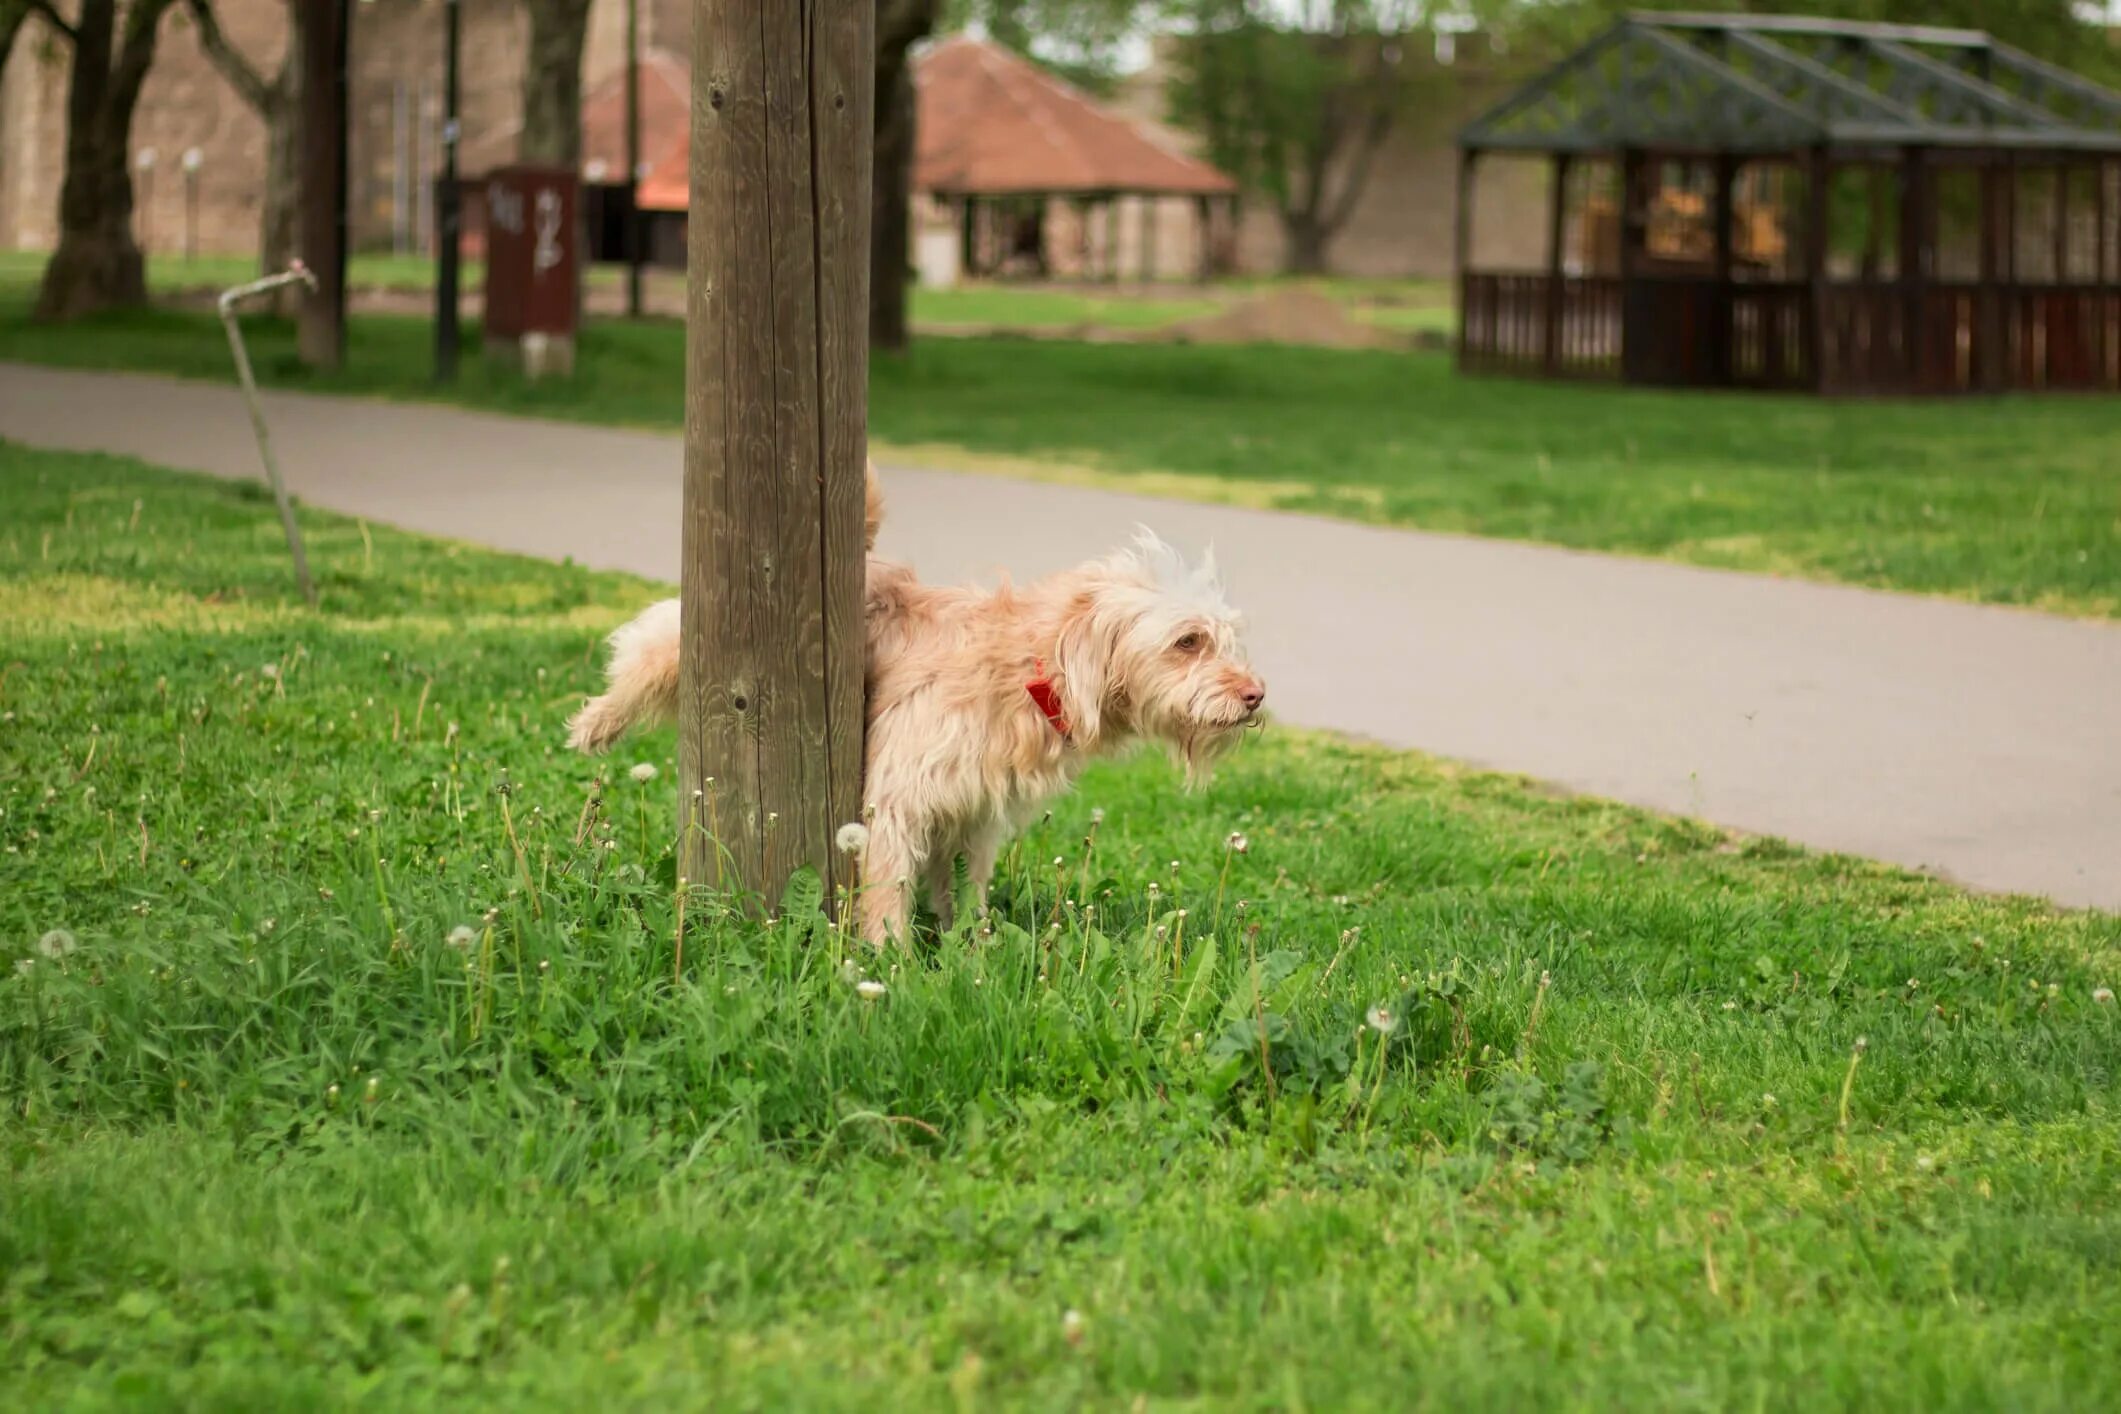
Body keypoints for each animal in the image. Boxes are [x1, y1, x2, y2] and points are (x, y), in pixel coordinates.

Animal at [564, 470, 1255, 945]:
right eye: (1188, 641)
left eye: (1226, 640)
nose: (1257, 697)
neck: (1026, 670)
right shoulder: (898, 801)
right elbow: (888, 891)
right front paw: (889, 965)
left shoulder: (972, 815)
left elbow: (966, 892)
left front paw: (970, 951)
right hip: (682, 642)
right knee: (640, 657)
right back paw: (595, 724)